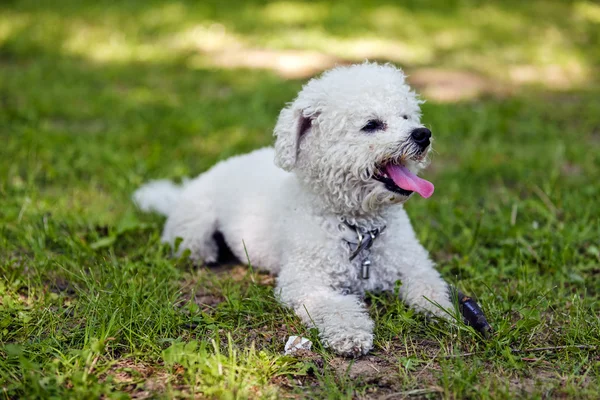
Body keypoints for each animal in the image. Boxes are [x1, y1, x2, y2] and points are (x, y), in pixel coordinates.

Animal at [135, 61, 454, 356]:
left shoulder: (413, 266)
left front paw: (446, 312)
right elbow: (336, 308)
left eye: (406, 116)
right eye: (371, 124)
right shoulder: (306, 282)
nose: (423, 134)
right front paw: (350, 335)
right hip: (193, 235)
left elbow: (431, 288)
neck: (359, 228)